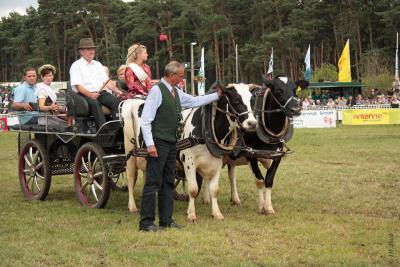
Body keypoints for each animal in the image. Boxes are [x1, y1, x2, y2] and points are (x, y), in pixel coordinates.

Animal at [217, 76, 308, 215]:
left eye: (294, 89)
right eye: (278, 90)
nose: (296, 109)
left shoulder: (277, 156)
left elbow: (269, 181)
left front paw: (269, 207)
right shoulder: (251, 155)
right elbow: (260, 180)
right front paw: (261, 207)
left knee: (231, 173)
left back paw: (235, 198)